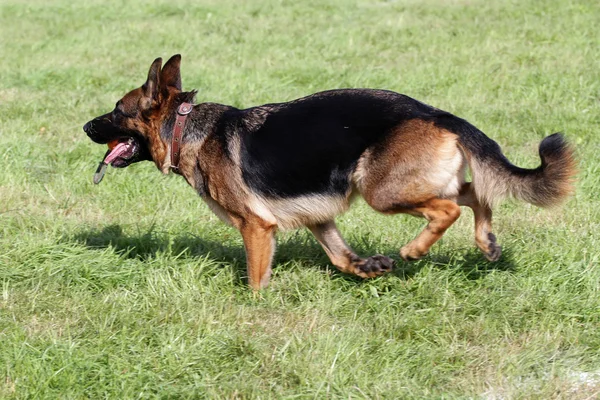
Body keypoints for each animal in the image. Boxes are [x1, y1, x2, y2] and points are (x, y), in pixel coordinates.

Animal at [83, 54, 576, 290]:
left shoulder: (256, 228)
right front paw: (369, 268)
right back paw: (486, 242)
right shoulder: (318, 217)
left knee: (448, 209)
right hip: (416, 182)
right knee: (477, 194)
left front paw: (255, 313)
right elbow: (341, 257)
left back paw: (415, 249)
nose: (85, 126)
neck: (186, 129)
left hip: (381, 190)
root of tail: (438, 114)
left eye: (116, 110)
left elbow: (256, 282)